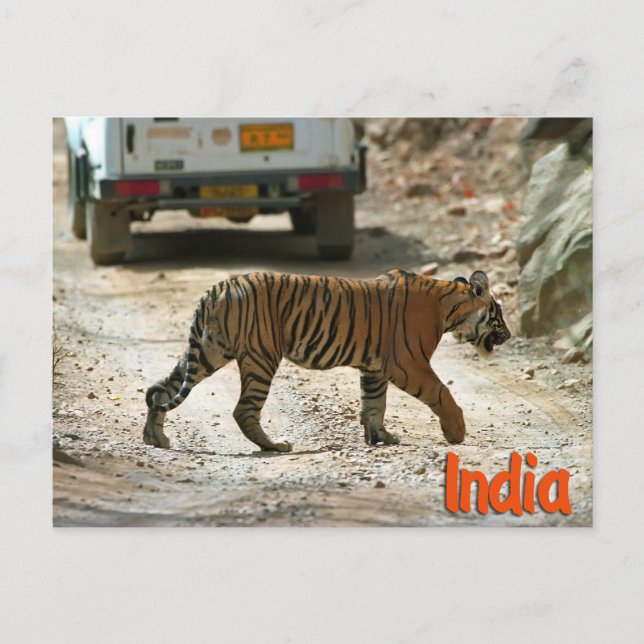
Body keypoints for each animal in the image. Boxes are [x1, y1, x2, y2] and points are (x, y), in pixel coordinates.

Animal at [143, 269, 510, 452]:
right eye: (499, 313)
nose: (508, 335)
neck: (449, 307)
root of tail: (217, 288)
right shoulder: (408, 364)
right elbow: (441, 393)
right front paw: (456, 432)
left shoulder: (375, 368)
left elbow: (374, 404)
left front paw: (380, 438)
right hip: (261, 356)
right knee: (243, 410)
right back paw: (275, 446)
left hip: (209, 351)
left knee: (160, 389)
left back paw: (155, 438)